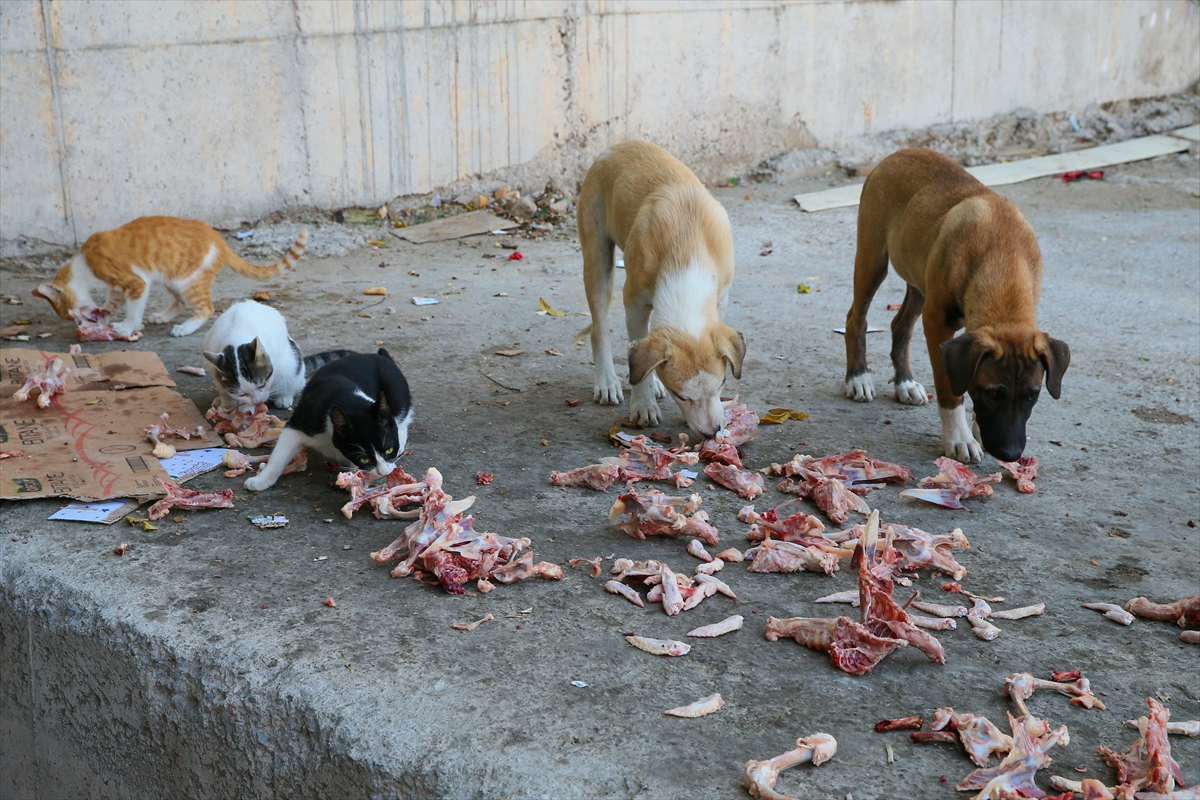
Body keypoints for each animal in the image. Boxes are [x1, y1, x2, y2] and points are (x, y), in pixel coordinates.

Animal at [34, 215, 309, 338]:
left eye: (70, 314)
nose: (78, 324)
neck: (82, 266)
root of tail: (219, 240)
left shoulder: (136, 282)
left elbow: (133, 309)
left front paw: (127, 326)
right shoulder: (119, 286)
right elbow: (111, 304)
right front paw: (106, 317)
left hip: (187, 280)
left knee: (206, 308)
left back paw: (185, 328)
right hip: (171, 279)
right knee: (180, 302)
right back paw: (163, 316)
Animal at [242, 350, 412, 494]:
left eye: (389, 450)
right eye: (365, 458)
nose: (383, 472)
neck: (349, 401)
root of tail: (378, 356)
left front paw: (354, 481)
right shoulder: (298, 422)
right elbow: (279, 455)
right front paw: (261, 479)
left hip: (396, 388)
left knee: (403, 415)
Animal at [576, 139, 744, 438]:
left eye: (722, 384)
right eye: (681, 396)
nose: (712, 432)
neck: (687, 251)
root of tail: (619, 146)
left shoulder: (721, 296)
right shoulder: (634, 303)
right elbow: (637, 348)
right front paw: (643, 405)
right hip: (596, 256)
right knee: (599, 326)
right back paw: (607, 381)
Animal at [844, 148, 1070, 462]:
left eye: (1032, 394)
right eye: (992, 394)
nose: (1010, 454)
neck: (1002, 258)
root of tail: (898, 153)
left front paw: (975, 431)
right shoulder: (937, 324)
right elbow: (950, 390)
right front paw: (959, 437)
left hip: (919, 281)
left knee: (900, 325)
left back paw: (904, 383)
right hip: (872, 258)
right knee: (856, 318)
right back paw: (858, 377)